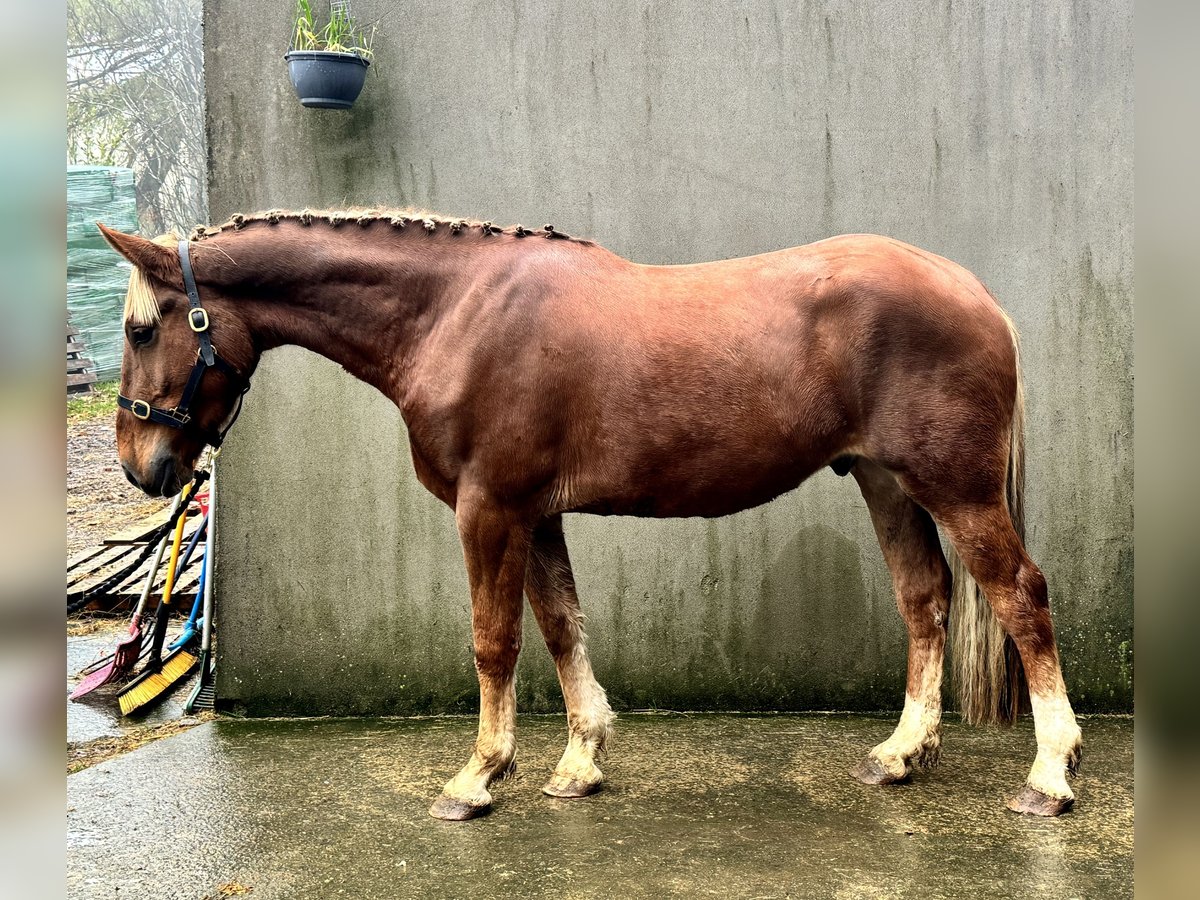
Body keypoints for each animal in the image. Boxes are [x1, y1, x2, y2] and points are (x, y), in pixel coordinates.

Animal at [99, 208, 1082, 820]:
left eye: (143, 329)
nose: (143, 467)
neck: (454, 314)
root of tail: (976, 294)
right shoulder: (535, 515)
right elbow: (563, 626)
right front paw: (578, 764)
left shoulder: (489, 509)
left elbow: (495, 643)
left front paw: (477, 777)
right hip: (884, 481)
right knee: (925, 599)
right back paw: (901, 753)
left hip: (955, 489)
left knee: (1022, 597)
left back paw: (1050, 775)